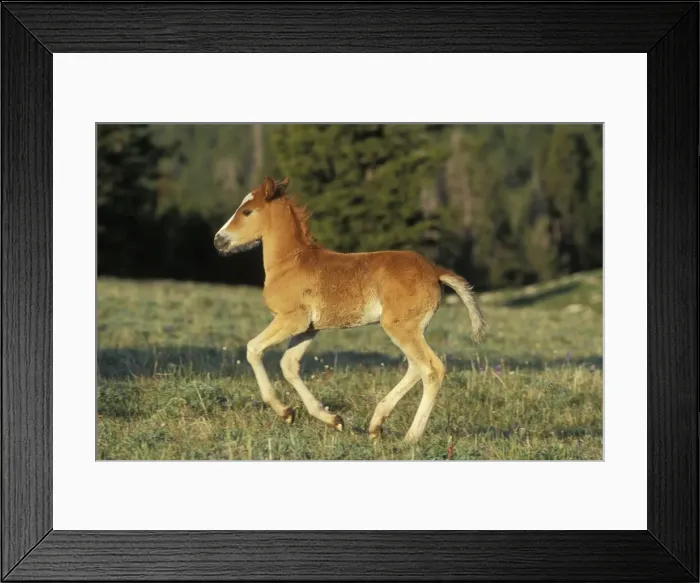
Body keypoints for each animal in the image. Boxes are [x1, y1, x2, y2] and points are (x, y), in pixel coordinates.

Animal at [214, 176, 487, 444]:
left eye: (247, 211)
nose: (218, 240)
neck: (290, 262)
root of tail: (435, 271)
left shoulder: (292, 319)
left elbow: (253, 349)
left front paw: (284, 411)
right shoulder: (309, 329)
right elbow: (289, 364)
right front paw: (331, 419)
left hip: (400, 327)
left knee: (431, 369)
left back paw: (410, 437)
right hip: (411, 328)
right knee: (415, 367)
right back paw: (376, 425)